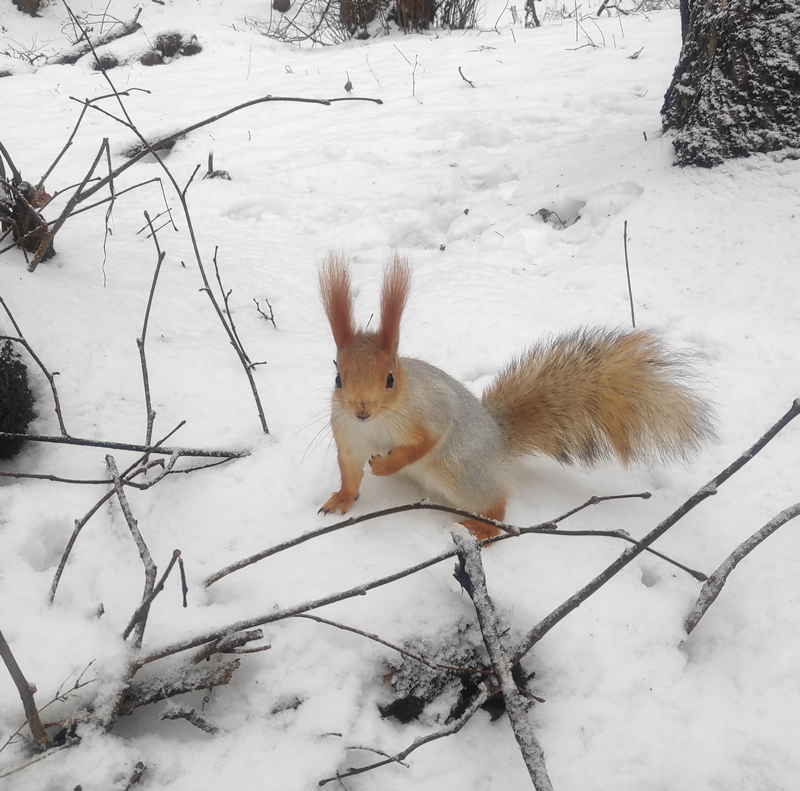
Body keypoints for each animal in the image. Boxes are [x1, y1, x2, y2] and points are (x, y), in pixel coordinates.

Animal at [316, 251, 716, 540]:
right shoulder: (347, 435)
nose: (362, 410)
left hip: (463, 475)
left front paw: (385, 465)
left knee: (498, 510)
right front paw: (339, 499)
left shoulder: (430, 411)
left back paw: (482, 530)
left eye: (390, 379)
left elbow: (425, 442)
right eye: (338, 379)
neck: (375, 424)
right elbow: (350, 472)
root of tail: (501, 442)